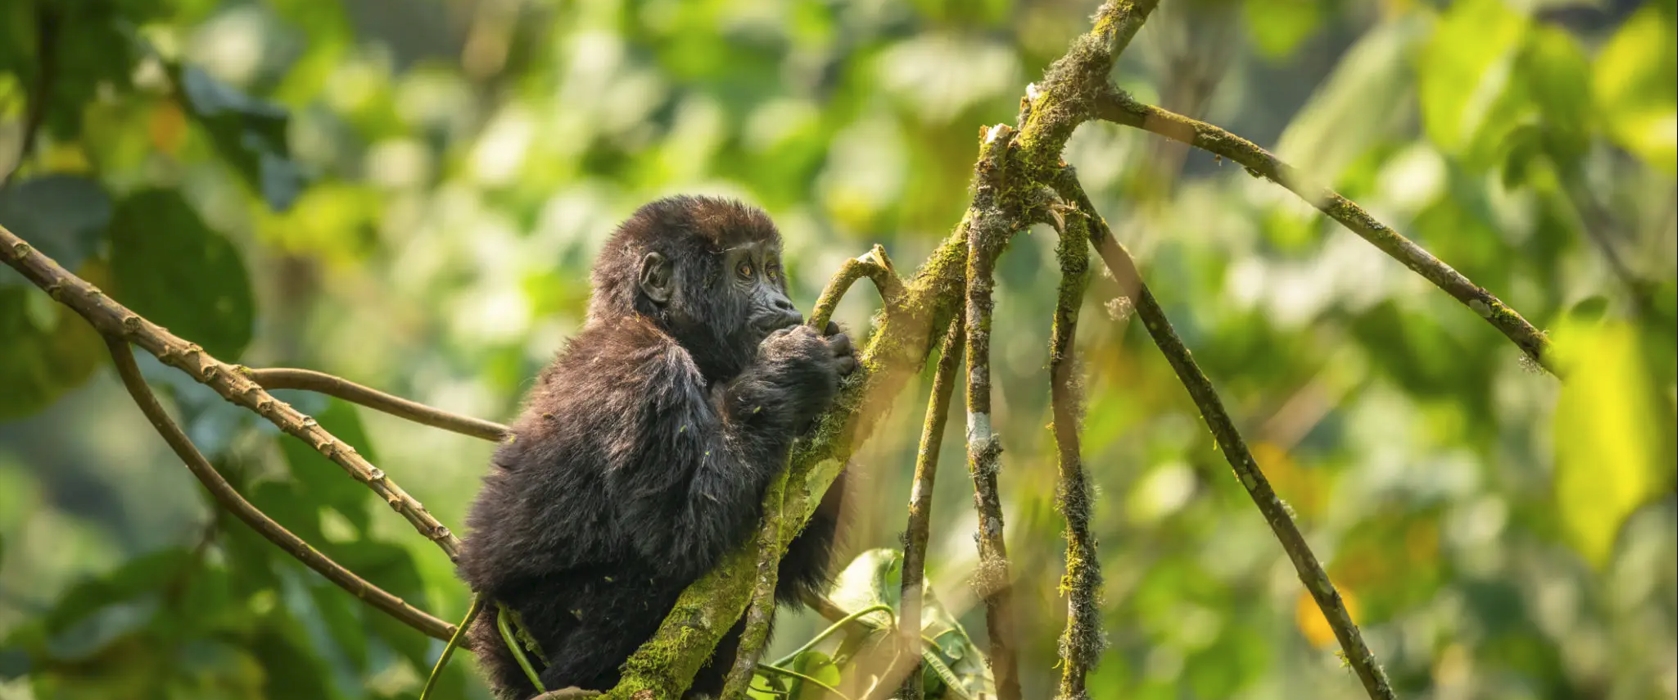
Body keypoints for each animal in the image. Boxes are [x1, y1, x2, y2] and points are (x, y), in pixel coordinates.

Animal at [456, 195, 855, 699]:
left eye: (770, 269)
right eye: (744, 271)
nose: (784, 301)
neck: (654, 322)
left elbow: (789, 551)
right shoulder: (641, 369)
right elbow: (680, 536)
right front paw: (791, 370)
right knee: (647, 581)